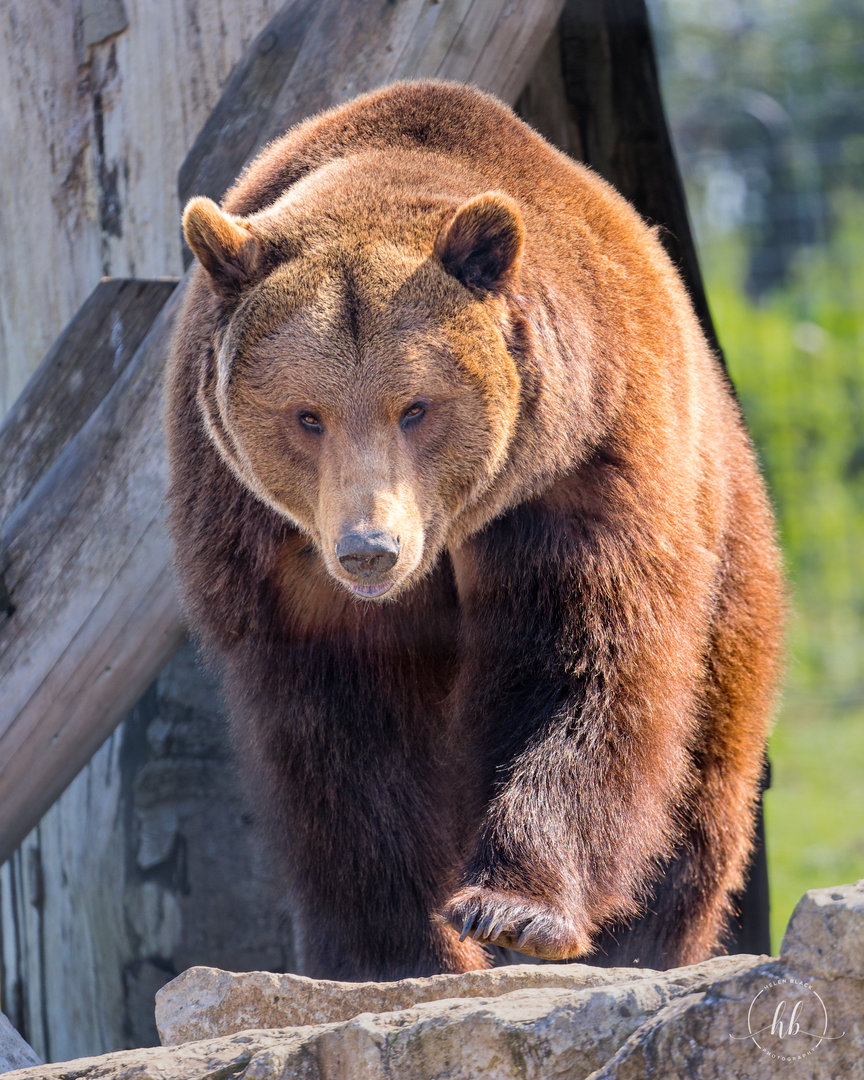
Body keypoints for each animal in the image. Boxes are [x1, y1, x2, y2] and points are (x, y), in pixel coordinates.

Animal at [165, 80, 783, 981]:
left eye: (416, 407)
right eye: (306, 415)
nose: (370, 551)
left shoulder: (582, 463)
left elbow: (584, 664)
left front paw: (515, 907)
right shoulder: (270, 548)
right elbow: (340, 737)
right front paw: (398, 947)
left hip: (729, 550)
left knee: (704, 777)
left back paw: (650, 940)